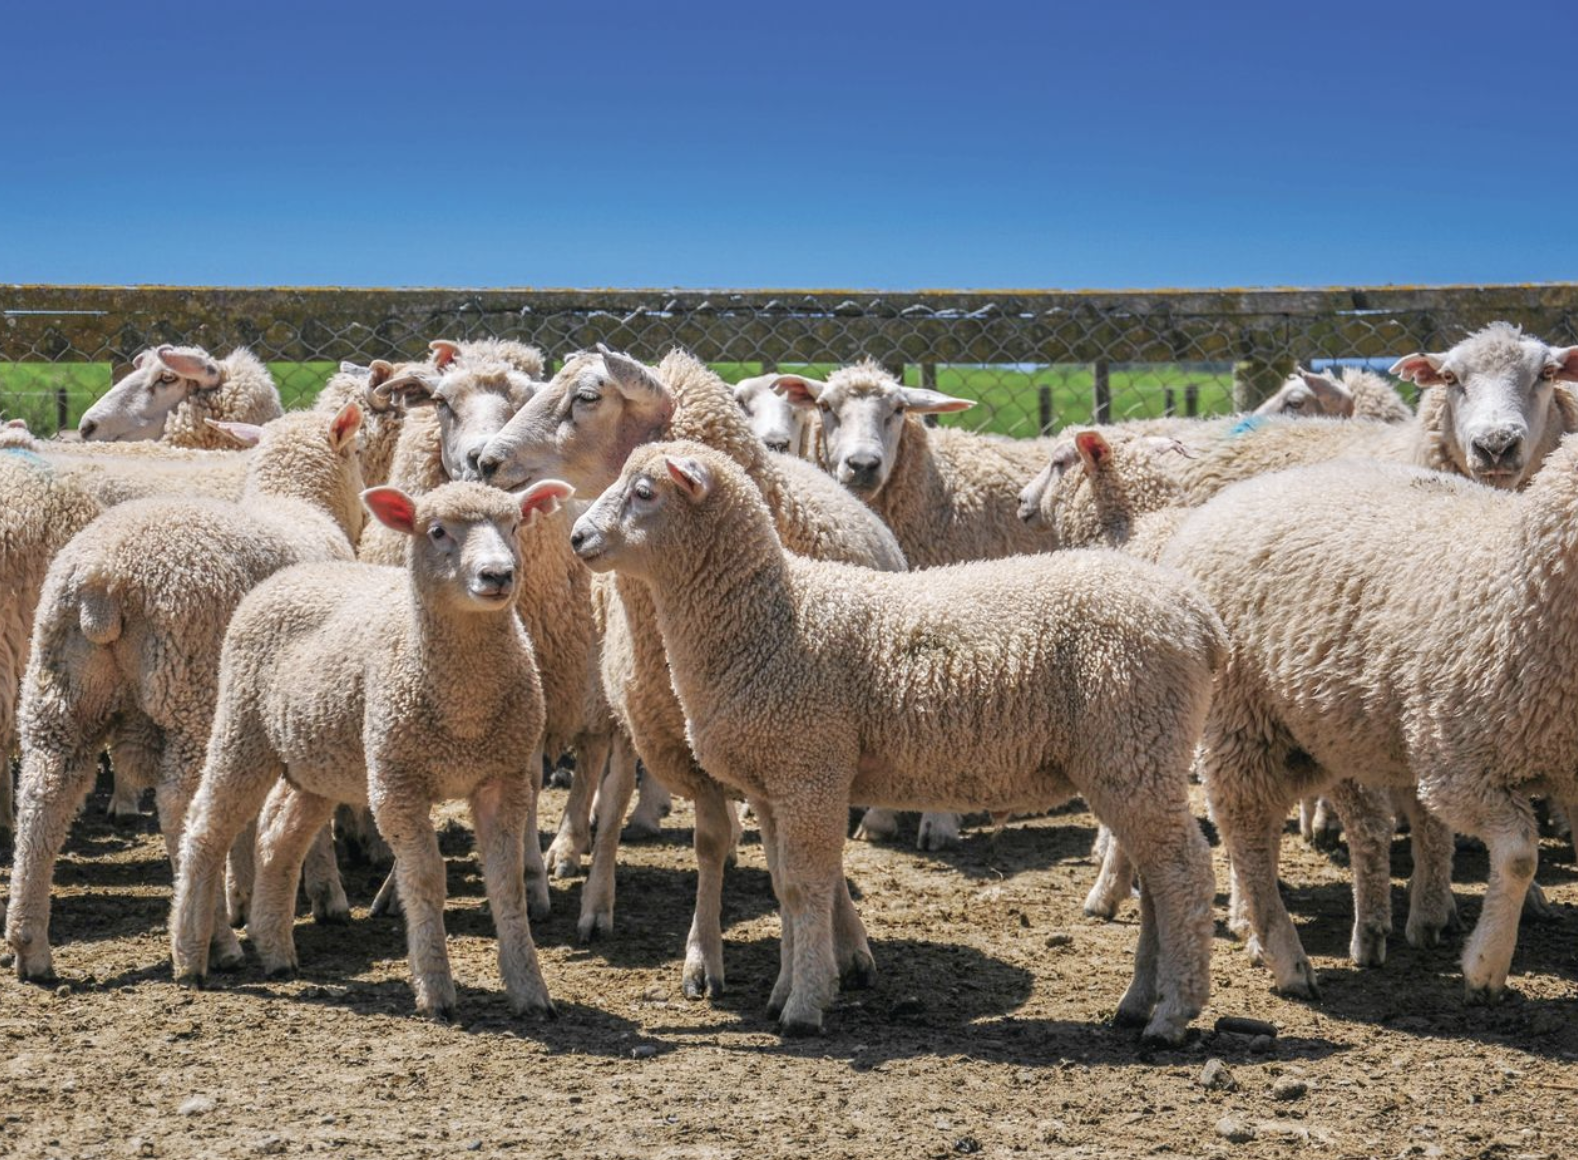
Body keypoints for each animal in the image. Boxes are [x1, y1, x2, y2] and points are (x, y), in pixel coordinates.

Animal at [5, 405, 366, 980]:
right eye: (358, 451)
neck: (298, 504)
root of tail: (103, 581)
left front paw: (243, 894)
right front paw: (322, 895)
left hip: (61, 691)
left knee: (45, 797)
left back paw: (30, 947)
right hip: (190, 692)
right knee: (180, 809)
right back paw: (213, 942)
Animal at [170, 480, 571, 1020]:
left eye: (513, 526)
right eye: (437, 531)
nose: (497, 575)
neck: (464, 709)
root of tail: (289, 574)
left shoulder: (502, 779)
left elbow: (506, 884)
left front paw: (530, 992)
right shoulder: (396, 782)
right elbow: (424, 879)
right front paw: (435, 991)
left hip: (317, 760)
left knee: (279, 837)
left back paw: (275, 951)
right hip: (241, 728)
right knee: (206, 828)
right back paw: (191, 957)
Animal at [478, 346, 903, 998]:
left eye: (587, 397)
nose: (485, 461)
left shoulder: (803, 745)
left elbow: (810, 855)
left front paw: (848, 945)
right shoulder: (676, 738)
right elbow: (706, 840)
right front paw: (702, 958)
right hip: (627, 711)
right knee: (615, 797)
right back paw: (597, 901)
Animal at [568, 440, 1223, 1042]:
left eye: (645, 492)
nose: (577, 537)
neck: (772, 618)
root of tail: (1196, 616)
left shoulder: (811, 767)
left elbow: (807, 886)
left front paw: (805, 1004)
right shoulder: (772, 784)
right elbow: (785, 888)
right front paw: (785, 990)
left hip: (1135, 744)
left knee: (1184, 873)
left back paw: (1172, 1014)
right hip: (1133, 758)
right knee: (1157, 878)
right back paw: (1137, 1002)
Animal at [1159, 387, 1578, 1004]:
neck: (1514, 574)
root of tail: (1225, 500)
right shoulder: (1457, 765)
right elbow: (1521, 856)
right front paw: (1485, 966)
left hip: (1321, 736)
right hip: (1242, 719)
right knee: (1247, 830)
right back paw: (1285, 956)